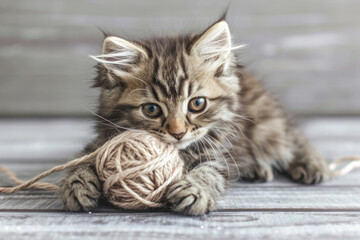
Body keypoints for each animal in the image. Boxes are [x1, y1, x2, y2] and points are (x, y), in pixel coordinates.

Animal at [58, 15, 330, 215]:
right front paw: (77, 186)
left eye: (197, 104)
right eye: (151, 109)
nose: (178, 133)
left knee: (292, 137)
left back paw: (311, 164)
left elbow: (209, 173)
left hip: (267, 125)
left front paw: (193, 191)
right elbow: (82, 160)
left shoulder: (220, 153)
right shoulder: (102, 140)